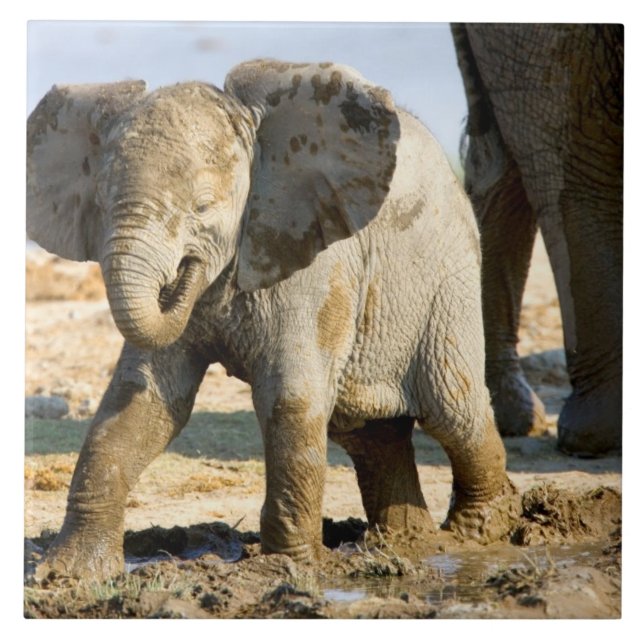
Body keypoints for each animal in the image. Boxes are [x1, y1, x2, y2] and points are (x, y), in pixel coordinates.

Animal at [27, 59, 519, 580]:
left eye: (204, 206)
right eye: (100, 203)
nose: (184, 272)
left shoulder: (312, 260)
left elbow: (289, 397)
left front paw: (284, 569)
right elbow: (141, 400)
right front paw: (67, 574)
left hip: (449, 279)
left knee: (453, 409)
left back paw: (477, 534)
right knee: (369, 433)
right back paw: (408, 542)